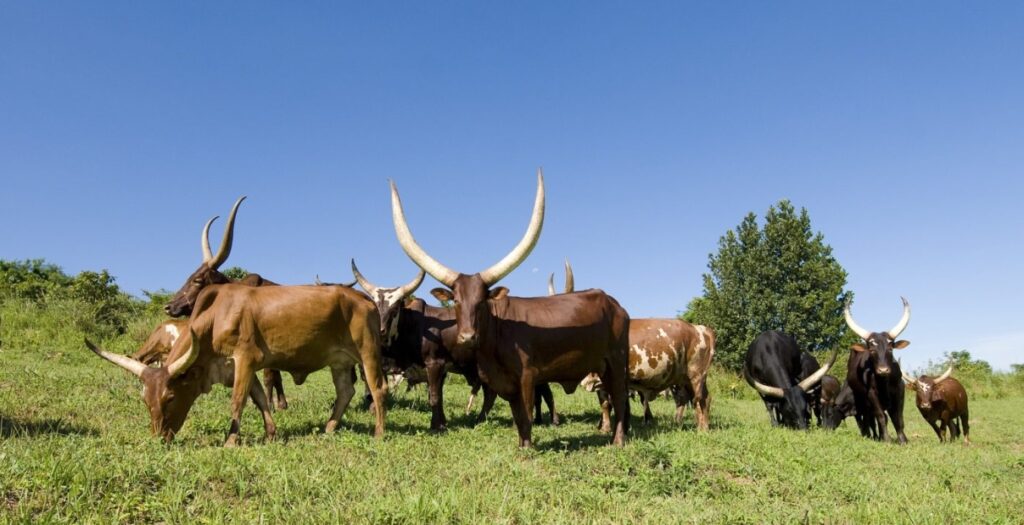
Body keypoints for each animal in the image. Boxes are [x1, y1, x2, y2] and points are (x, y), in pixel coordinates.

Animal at [86, 283, 387, 445]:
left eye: (170, 397)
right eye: (145, 400)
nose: (160, 438)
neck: (216, 318)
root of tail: (364, 299)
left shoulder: (245, 359)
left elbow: (238, 400)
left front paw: (231, 440)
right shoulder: (244, 368)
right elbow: (260, 399)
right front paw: (270, 434)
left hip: (368, 353)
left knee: (377, 389)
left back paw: (379, 432)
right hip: (339, 362)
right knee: (345, 391)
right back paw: (329, 427)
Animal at [390, 170, 631, 447]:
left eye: (482, 301)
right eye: (456, 301)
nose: (467, 337)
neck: (496, 336)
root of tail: (615, 305)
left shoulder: (527, 376)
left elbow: (526, 415)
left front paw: (527, 448)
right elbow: (517, 416)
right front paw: (522, 444)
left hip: (616, 361)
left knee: (619, 397)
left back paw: (618, 440)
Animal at [844, 297, 912, 443]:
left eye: (890, 348)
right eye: (871, 350)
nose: (883, 370)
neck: (884, 382)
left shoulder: (900, 390)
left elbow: (898, 417)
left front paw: (903, 439)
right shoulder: (872, 395)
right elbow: (881, 416)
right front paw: (886, 439)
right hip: (861, 399)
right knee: (868, 418)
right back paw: (871, 435)